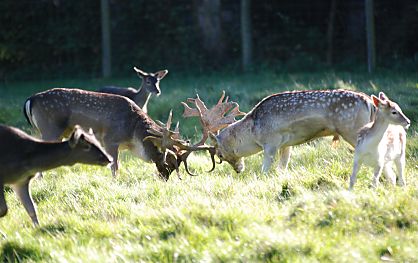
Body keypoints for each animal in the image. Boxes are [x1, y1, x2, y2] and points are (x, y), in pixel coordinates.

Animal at [22, 88, 212, 182]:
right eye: (167, 159)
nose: (164, 178)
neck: (132, 133)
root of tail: (30, 100)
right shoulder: (109, 140)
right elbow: (115, 166)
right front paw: (115, 182)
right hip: (50, 128)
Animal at [207, 89, 378, 174]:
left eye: (220, 155)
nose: (238, 170)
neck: (254, 131)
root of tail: (370, 102)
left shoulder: (271, 142)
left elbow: (265, 170)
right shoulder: (286, 144)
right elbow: (282, 167)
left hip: (353, 130)